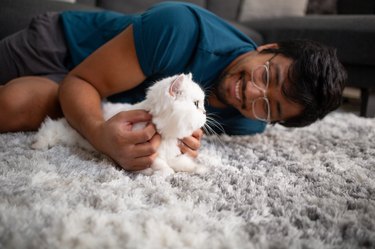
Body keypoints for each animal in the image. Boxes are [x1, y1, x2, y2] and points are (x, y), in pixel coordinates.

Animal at [32, 73, 207, 176]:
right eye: (196, 104)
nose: (205, 112)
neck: (165, 133)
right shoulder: (148, 154)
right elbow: (160, 165)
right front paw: (162, 172)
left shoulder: (171, 154)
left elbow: (184, 162)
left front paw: (199, 168)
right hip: (62, 132)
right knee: (49, 128)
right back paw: (36, 145)